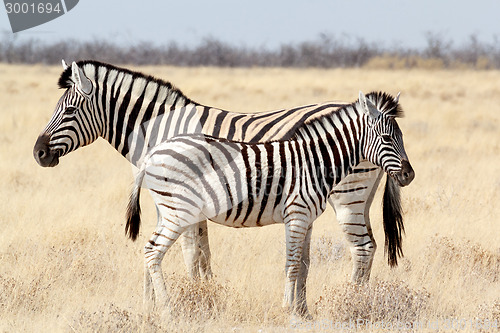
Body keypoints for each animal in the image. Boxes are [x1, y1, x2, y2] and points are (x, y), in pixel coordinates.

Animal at [36, 61, 406, 286]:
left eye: (68, 110)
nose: (38, 153)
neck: (162, 127)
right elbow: (201, 252)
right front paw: (204, 291)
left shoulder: (181, 200)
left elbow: (190, 252)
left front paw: (194, 296)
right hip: (360, 197)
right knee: (369, 246)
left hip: (347, 196)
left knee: (362, 248)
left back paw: (352, 301)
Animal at [128, 91, 414, 316]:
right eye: (387, 139)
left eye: (402, 136)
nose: (409, 175)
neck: (316, 161)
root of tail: (154, 152)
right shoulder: (296, 214)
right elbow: (292, 263)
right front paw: (288, 309)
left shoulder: (306, 218)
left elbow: (302, 264)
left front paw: (301, 311)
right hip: (178, 211)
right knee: (153, 251)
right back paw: (167, 310)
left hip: (170, 210)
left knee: (149, 249)